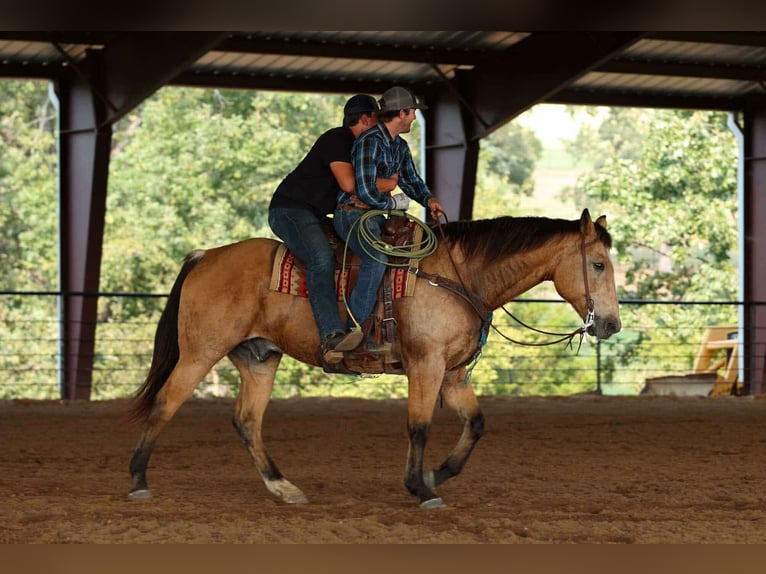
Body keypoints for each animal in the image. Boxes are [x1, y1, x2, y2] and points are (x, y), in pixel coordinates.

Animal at [127, 208, 621, 509]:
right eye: (598, 264)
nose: (612, 324)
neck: (457, 276)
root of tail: (205, 256)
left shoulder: (453, 375)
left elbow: (476, 424)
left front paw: (437, 475)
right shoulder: (426, 366)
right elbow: (419, 426)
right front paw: (420, 488)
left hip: (259, 358)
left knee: (247, 421)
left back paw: (283, 487)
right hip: (199, 352)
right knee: (165, 404)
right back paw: (137, 481)